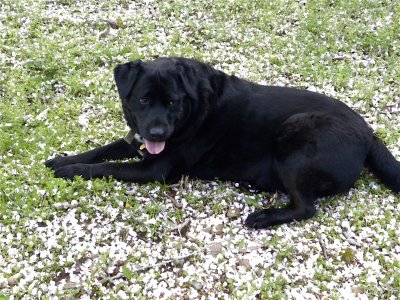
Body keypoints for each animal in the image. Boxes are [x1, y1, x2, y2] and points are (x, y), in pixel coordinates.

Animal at [46, 57, 400, 229]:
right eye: (144, 99)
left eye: (172, 102)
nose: (158, 133)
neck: (194, 107)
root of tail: (370, 134)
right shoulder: (138, 141)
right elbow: (104, 150)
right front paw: (63, 160)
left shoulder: (155, 169)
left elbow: (108, 166)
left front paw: (71, 171)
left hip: (294, 140)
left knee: (306, 207)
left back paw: (264, 217)